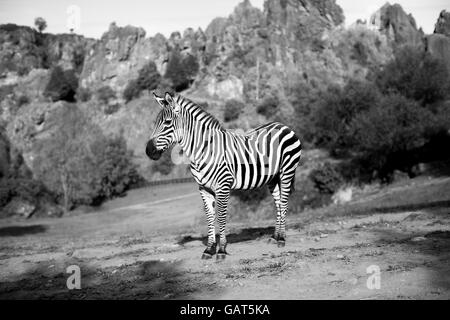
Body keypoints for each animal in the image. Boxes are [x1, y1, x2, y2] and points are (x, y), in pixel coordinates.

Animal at [148, 92, 302, 260]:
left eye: (167, 122)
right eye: (155, 123)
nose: (148, 151)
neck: (202, 151)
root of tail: (282, 125)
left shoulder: (223, 185)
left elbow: (221, 216)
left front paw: (221, 250)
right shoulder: (204, 188)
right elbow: (210, 217)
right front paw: (209, 249)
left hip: (287, 170)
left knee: (284, 202)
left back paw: (282, 239)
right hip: (273, 178)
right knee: (278, 203)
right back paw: (275, 237)